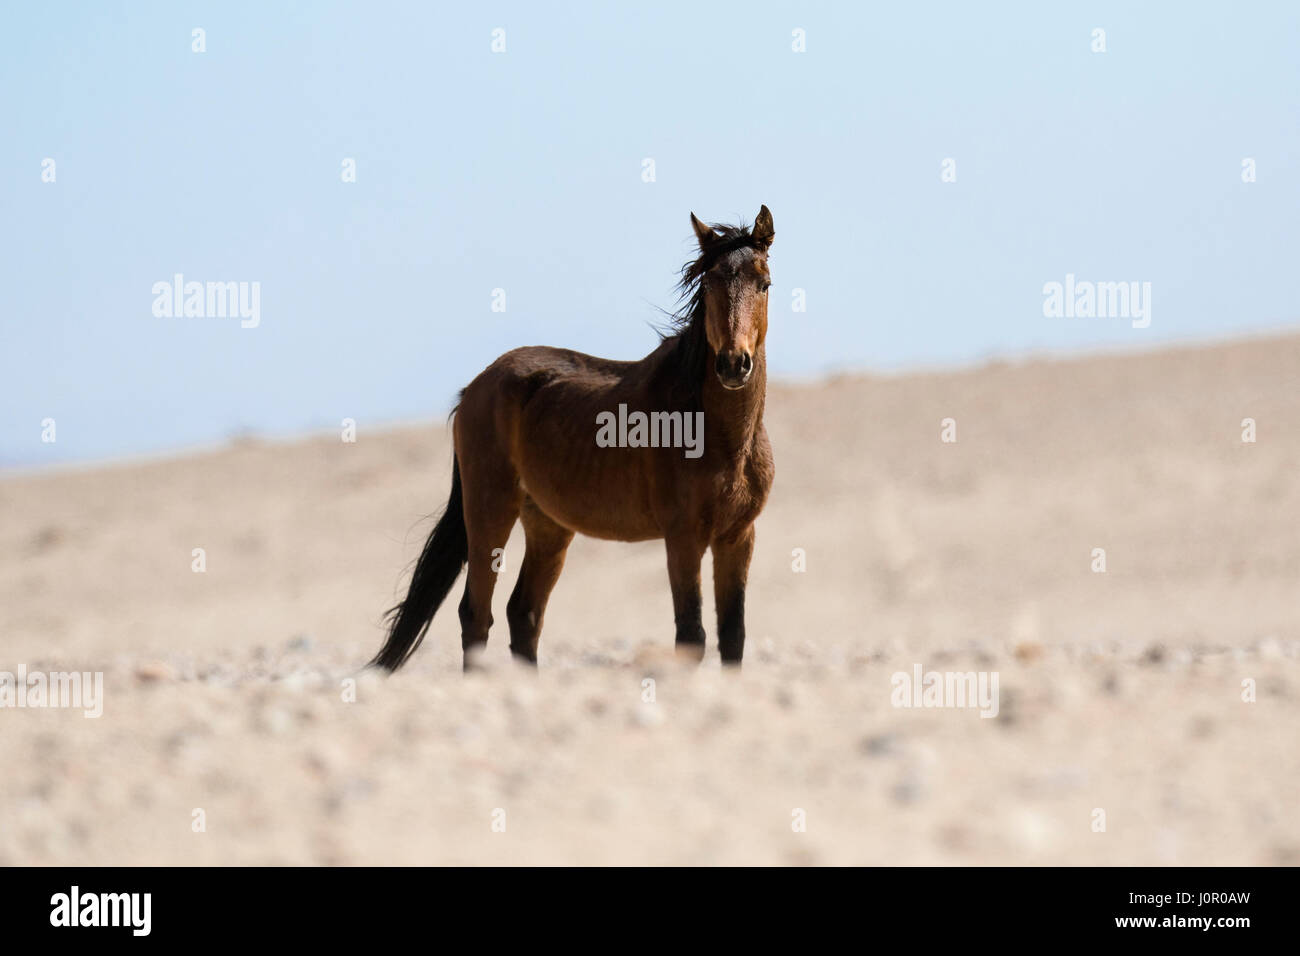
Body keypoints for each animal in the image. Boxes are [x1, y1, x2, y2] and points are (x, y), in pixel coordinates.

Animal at [369, 204, 769, 671]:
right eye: (709, 283)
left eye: (764, 283)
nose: (733, 364)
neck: (721, 437)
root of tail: (476, 387)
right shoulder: (683, 537)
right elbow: (692, 635)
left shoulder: (737, 537)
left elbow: (732, 636)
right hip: (490, 510)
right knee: (477, 614)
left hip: (548, 526)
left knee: (523, 614)